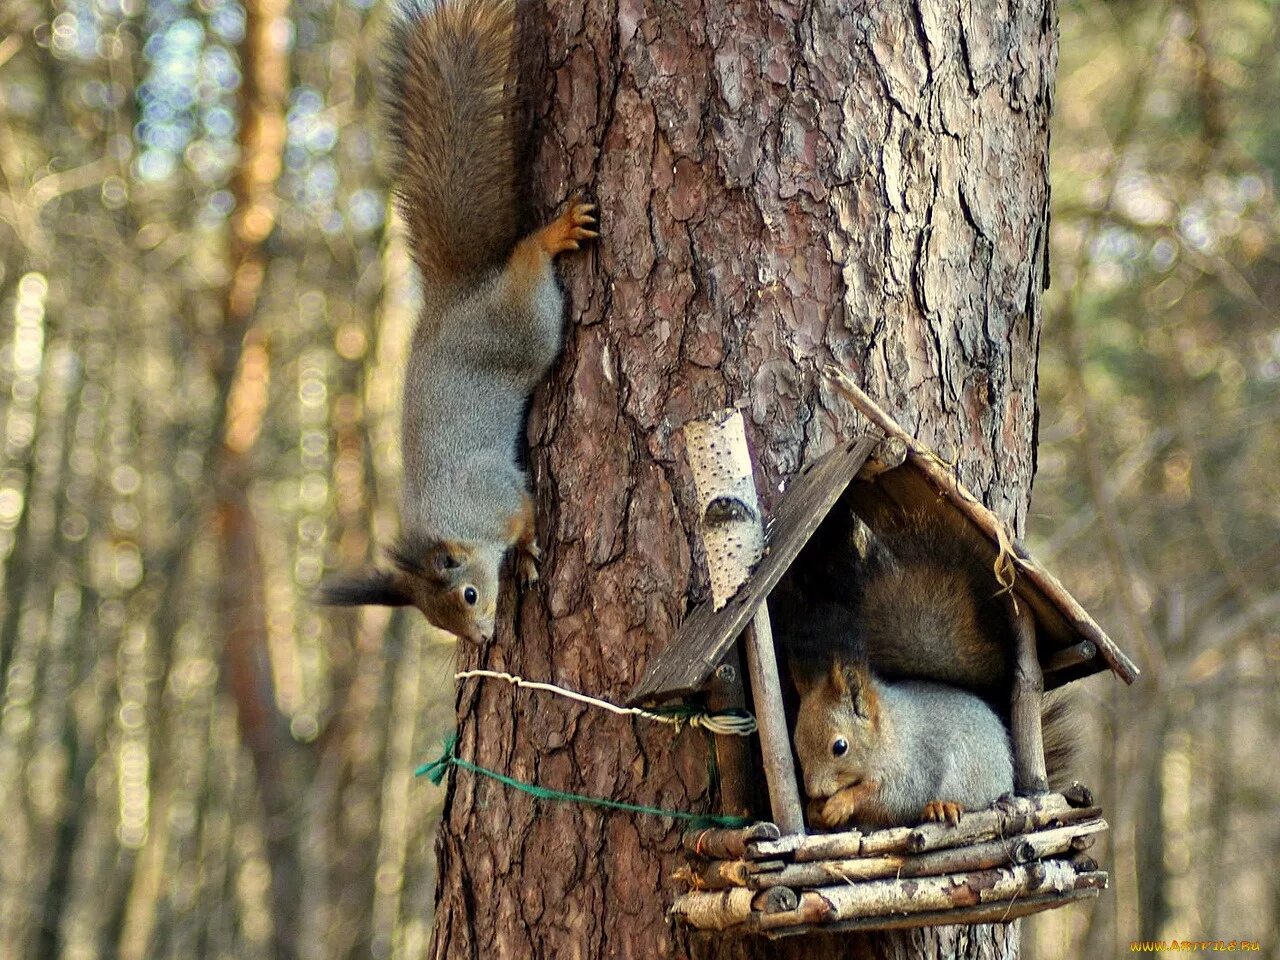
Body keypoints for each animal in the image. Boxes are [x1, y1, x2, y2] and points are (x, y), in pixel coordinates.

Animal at [320, 1, 599, 647]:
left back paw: (551, 235)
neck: (455, 522)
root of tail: (456, 296)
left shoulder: (499, 496)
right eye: (434, 618)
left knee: (527, 261)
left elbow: (524, 517)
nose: (483, 639)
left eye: (469, 594)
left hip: (525, 324)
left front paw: (525, 555)